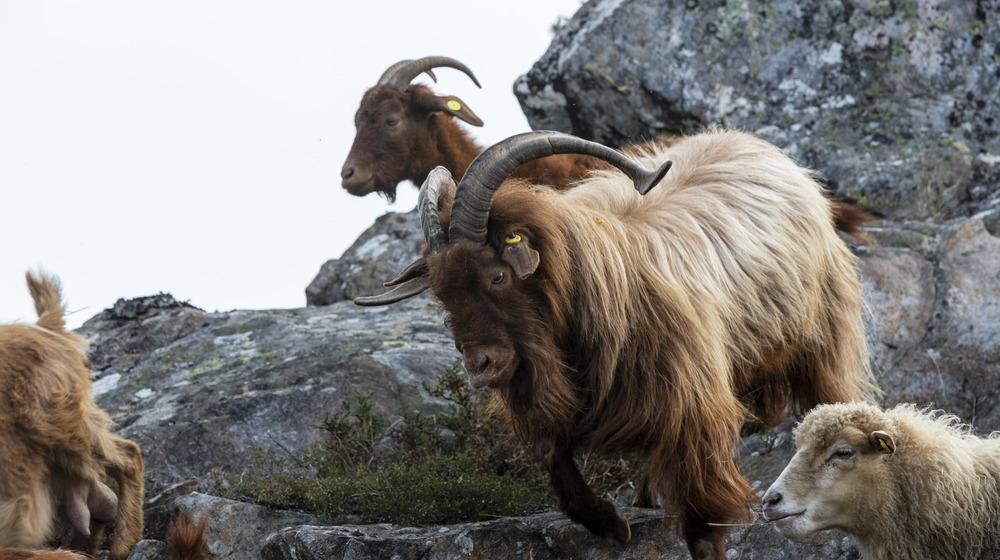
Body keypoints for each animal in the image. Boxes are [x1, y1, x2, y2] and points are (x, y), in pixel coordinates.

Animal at [358, 129, 876, 556]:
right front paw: (609, 524)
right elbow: (554, 458)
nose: (479, 366)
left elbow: (702, 525)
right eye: (443, 294)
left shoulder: (692, 408)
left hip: (821, 340)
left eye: (498, 276)